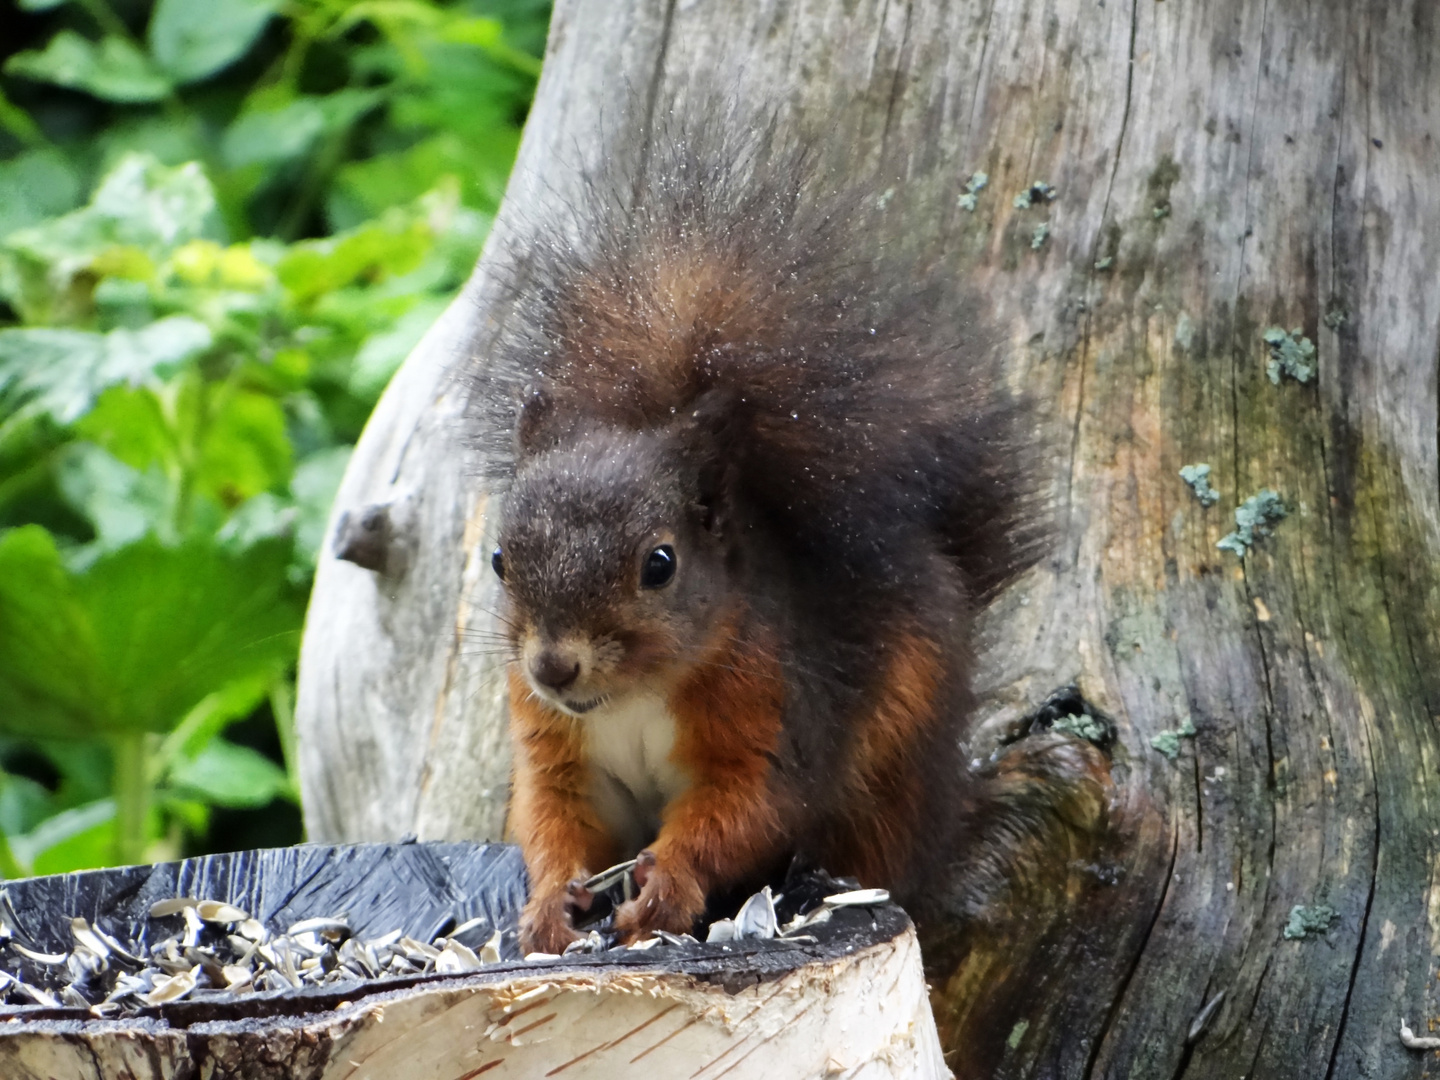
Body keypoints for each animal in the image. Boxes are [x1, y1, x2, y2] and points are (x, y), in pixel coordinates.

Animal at [472, 124, 1048, 956]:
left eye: (660, 564)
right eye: (499, 560)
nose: (553, 667)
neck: (633, 697)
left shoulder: (774, 717)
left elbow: (746, 809)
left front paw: (667, 887)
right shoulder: (558, 753)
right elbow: (555, 823)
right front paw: (550, 905)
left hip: (897, 756)